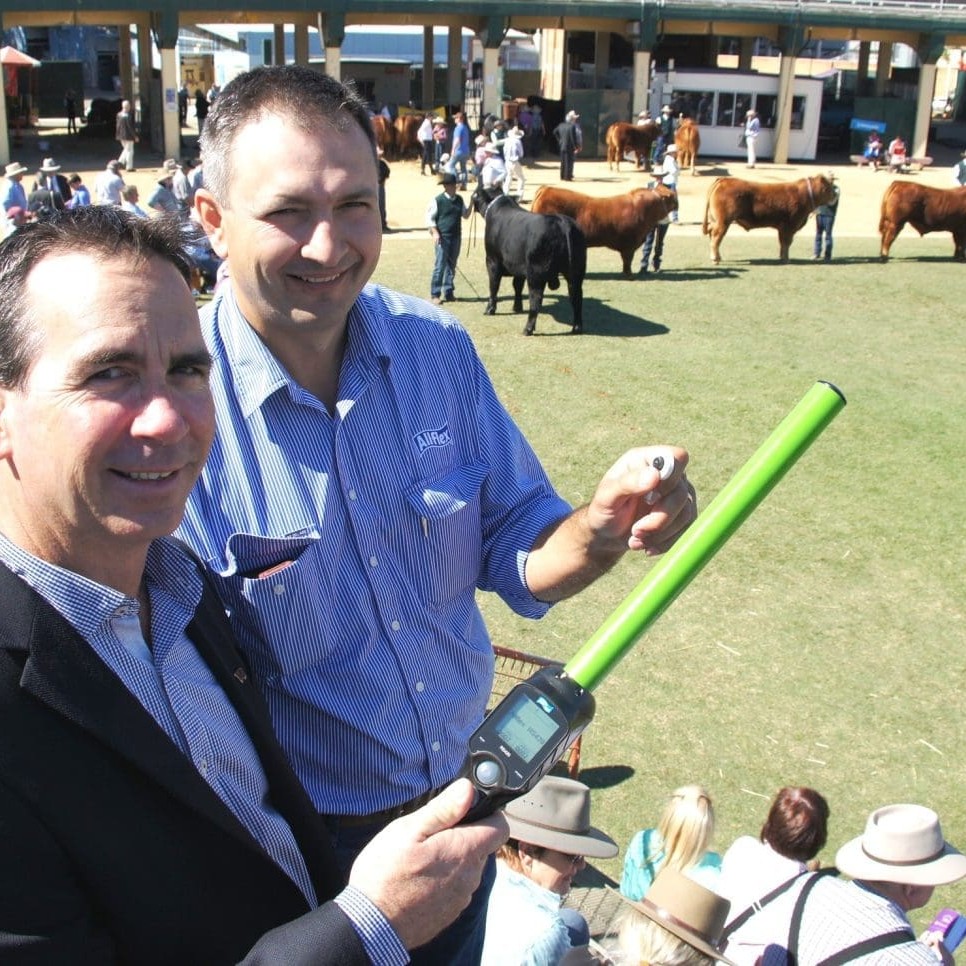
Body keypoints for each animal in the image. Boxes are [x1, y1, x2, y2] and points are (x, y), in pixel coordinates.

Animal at [470, 186, 588, 336]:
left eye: (475, 194)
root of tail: (562, 222)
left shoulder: (492, 261)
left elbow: (494, 286)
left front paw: (490, 309)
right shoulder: (519, 267)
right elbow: (517, 286)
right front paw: (517, 307)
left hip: (536, 275)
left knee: (536, 300)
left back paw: (528, 329)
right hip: (576, 273)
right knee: (576, 298)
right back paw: (577, 327)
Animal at [528, 183, 680, 278]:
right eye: (671, 196)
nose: (677, 201)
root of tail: (546, 189)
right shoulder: (629, 245)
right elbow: (628, 261)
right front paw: (630, 275)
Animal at [704, 174, 840, 262]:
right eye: (829, 187)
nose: (836, 195)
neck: (804, 195)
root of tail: (724, 180)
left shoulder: (783, 227)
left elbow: (783, 243)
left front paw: (782, 257)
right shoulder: (789, 226)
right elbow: (786, 243)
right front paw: (786, 259)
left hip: (716, 220)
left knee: (712, 234)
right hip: (723, 221)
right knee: (716, 238)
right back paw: (715, 259)